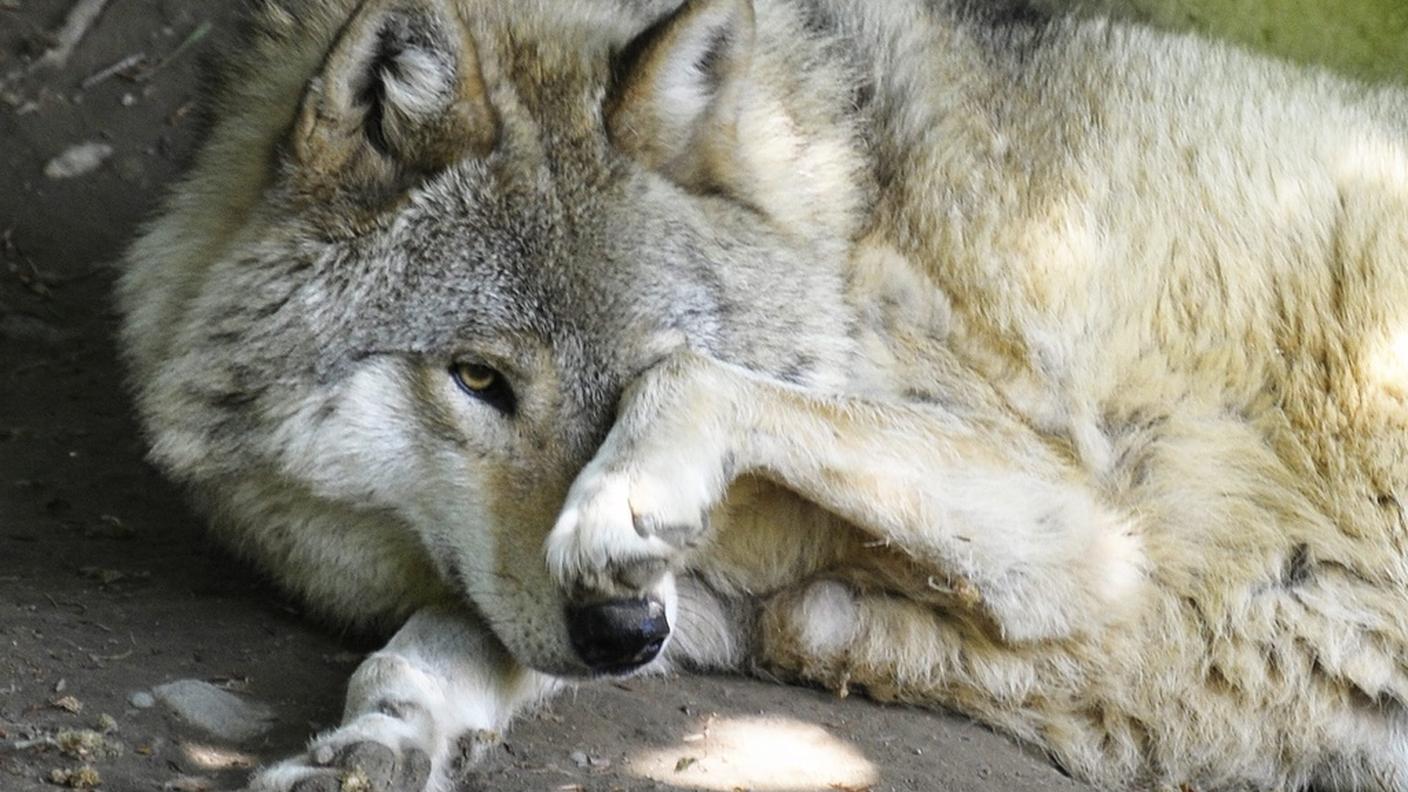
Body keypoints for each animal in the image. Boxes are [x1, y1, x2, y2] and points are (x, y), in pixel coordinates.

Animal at [116, 0, 1408, 789]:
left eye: (632, 374)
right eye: (480, 379)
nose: (623, 633)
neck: (833, 234)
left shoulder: (1085, 530)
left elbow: (711, 390)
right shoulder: (606, 603)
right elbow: (427, 651)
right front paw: (372, 747)